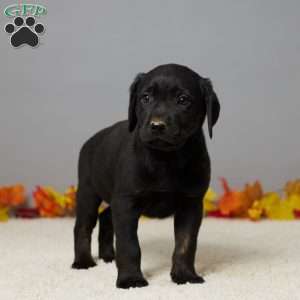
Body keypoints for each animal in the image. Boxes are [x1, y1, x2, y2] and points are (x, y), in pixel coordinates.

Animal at [71, 63, 219, 288]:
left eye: (183, 100)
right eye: (145, 98)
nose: (157, 125)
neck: (166, 158)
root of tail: (90, 141)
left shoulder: (191, 204)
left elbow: (185, 244)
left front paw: (184, 275)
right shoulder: (126, 202)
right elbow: (129, 245)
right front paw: (131, 279)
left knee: (105, 218)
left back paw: (108, 256)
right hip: (88, 193)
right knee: (83, 226)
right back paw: (83, 261)